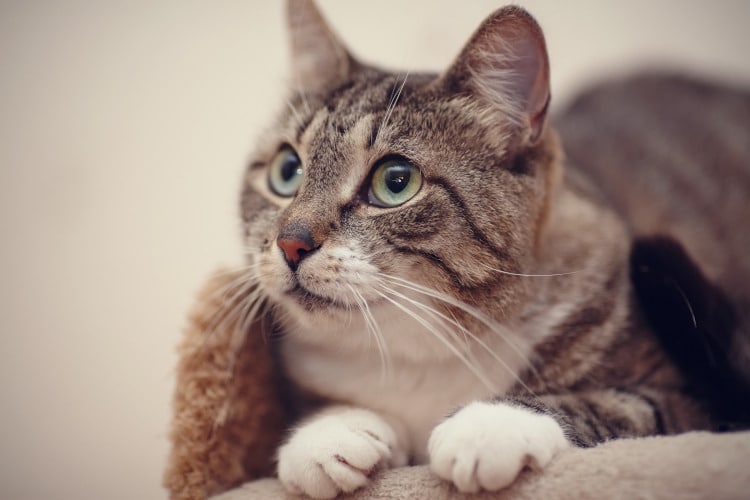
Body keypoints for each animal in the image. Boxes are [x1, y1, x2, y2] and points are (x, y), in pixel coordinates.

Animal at [234, 1, 748, 498]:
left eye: (396, 181)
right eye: (287, 170)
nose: (291, 241)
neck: (425, 349)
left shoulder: (696, 394)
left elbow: (624, 405)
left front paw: (489, 425)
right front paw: (330, 434)